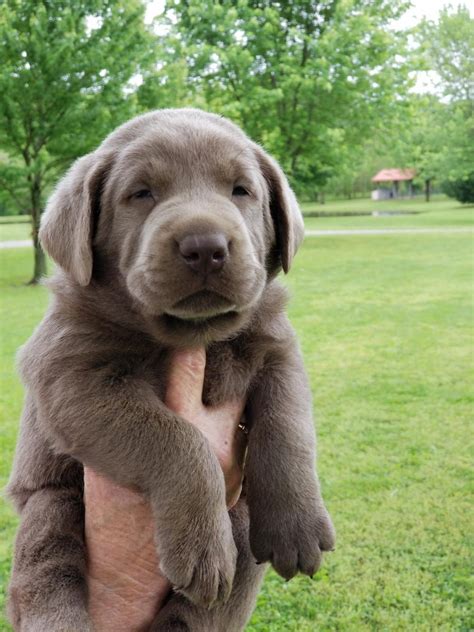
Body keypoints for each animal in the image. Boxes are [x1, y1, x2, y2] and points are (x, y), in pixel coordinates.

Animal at [6, 111, 334, 628]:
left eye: (241, 190)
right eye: (141, 193)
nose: (206, 246)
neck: (194, 334)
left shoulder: (279, 348)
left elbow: (288, 424)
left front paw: (296, 525)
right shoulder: (69, 375)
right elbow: (178, 440)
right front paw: (202, 548)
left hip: (242, 523)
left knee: (211, 604)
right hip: (49, 501)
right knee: (47, 567)